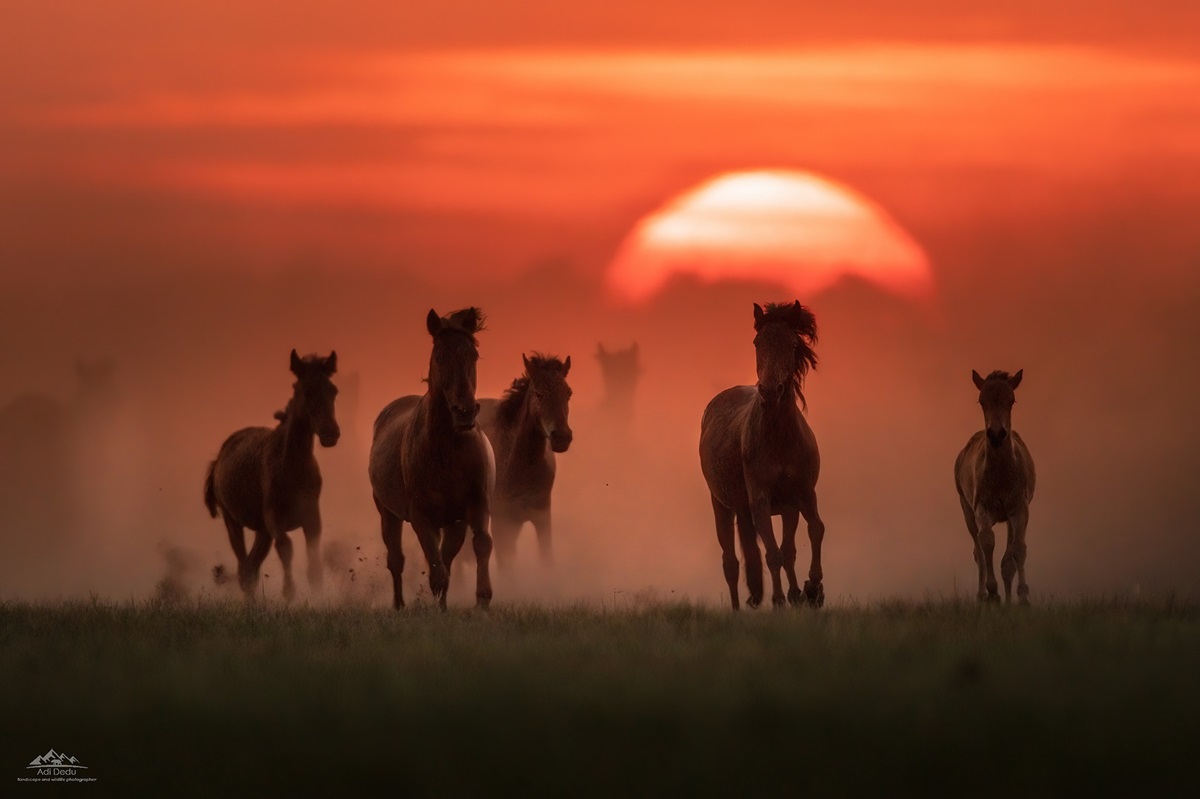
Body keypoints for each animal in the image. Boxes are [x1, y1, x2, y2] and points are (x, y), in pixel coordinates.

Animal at [204, 350, 340, 600]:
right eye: (307, 390)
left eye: (333, 390)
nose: (330, 433)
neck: (293, 467)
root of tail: (218, 458)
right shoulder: (275, 518)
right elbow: (286, 548)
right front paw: (289, 592)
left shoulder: (311, 518)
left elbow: (314, 565)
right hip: (233, 521)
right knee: (244, 569)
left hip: (262, 531)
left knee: (251, 567)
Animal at [368, 307, 494, 610]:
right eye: (439, 356)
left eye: (473, 355)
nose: (465, 412)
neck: (448, 450)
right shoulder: (421, 518)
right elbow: (436, 570)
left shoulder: (473, 509)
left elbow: (480, 546)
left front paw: (482, 601)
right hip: (387, 513)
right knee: (396, 559)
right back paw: (399, 605)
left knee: (444, 557)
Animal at [699, 301, 826, 610]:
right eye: (758, 342)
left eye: (793, 344)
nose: (769, 391)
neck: (779, 439)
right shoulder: (760, 500)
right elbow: (772, 554)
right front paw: (781, 598)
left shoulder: (802, 495)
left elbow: (812, 532)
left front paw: (811, 589)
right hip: (722, 506)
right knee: (731, 563)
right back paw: (737, 610)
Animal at [954, 370, 1036, 604]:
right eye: (981, 401)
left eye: (1012, 400)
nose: (996, 434)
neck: (1001, 475)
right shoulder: (982, 508)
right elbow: (987, 542)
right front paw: (992, 593)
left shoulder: (1019, 508)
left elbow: (1018, 549)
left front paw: (1023, 598)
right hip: (967, 510)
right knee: (978, 551)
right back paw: (983, 595)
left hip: (1007, 516)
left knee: (1007, 560)